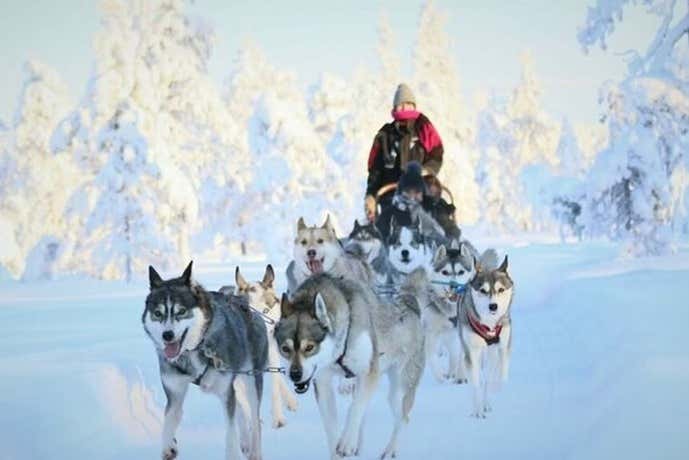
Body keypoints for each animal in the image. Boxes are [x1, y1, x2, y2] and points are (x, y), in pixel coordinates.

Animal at [142, 262, 266, 460]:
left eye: (181, 311)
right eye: (158, 313)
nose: (167, 335)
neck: (193, 350)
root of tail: (242, 302)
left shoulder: (225, 392)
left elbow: (230, 432)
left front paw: (232, 452)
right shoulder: (174, 391)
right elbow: (169, 418)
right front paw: (168, 445)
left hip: (251, 380)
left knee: (255, 420)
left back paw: (254, 450)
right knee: (240, 407)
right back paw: (246, 442)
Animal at [274, 274, 424, 458]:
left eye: (309, 347)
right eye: (285, 349)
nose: (295, 374)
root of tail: (410, 307)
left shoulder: (368, 372)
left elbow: (355, 408)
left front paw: (347, 442)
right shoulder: (323, 383)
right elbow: (332, 428)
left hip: (400, 387)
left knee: (403, 418)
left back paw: (389, 450)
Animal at [456, 255, 510, 416]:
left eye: (501, 289)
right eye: (483, 290)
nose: (493, 306)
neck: (489, 325)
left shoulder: (498, 347)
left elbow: (489, 378)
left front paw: (487, 404)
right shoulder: (472, 351)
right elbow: (476, 382)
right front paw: (477, 411)